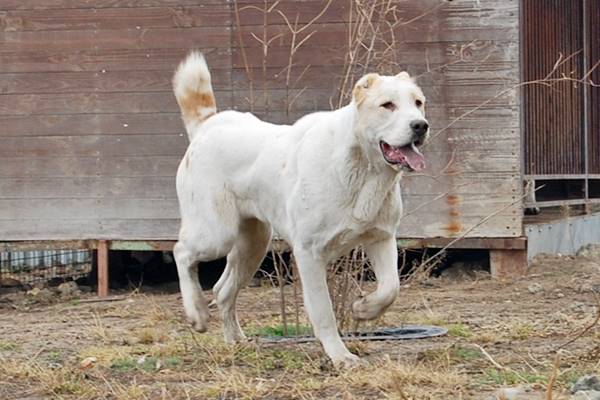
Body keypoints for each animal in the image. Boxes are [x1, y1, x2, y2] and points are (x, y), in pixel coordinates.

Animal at [171, 51, 428, 368]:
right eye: (387, 105)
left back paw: (236, 340)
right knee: (181, 252)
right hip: (216, 234)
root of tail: (207, 125)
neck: (363, 170)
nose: (420, 125)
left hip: (253, 244)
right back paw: (196, 312)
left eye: (418, 103)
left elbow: (391, 288)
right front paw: (340, 356)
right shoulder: (309, 253)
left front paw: (364, 308)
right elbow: (323, 311)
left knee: (222, 289)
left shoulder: (381, 238)